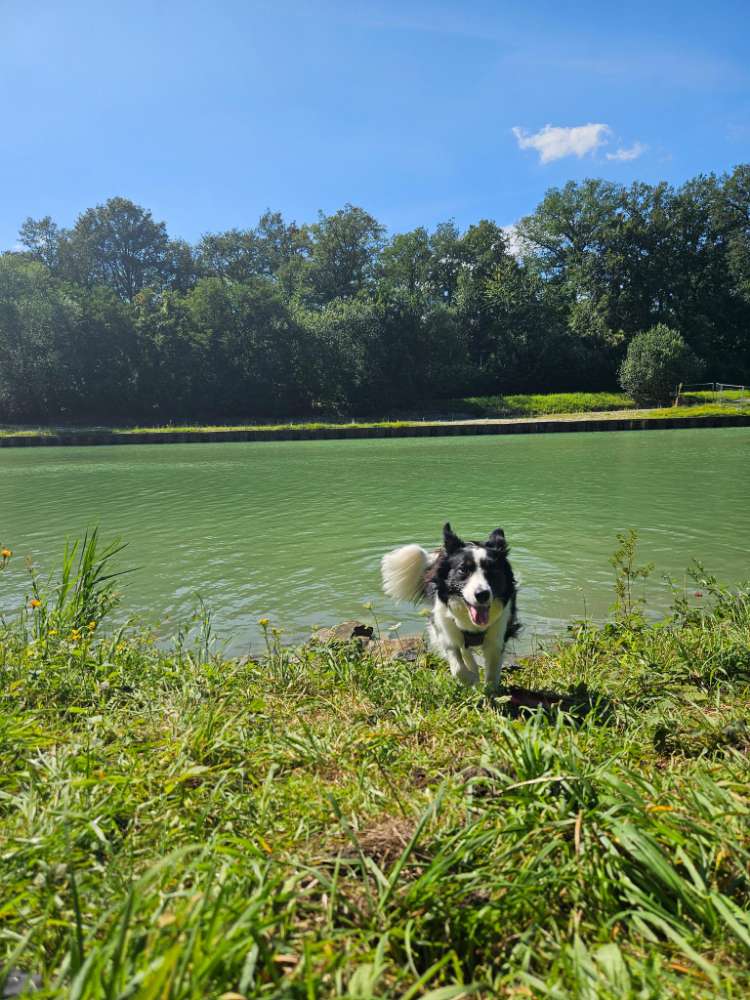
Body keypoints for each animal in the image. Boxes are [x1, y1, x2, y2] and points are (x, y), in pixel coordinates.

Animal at [384, 520, 520, 692]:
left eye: (492, 570)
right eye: (463, 569)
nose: (482, 594)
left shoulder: (498, 633)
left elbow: (493, 670)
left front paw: (490, 692)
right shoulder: (445, 629)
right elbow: (458, 666)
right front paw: (472, 681)